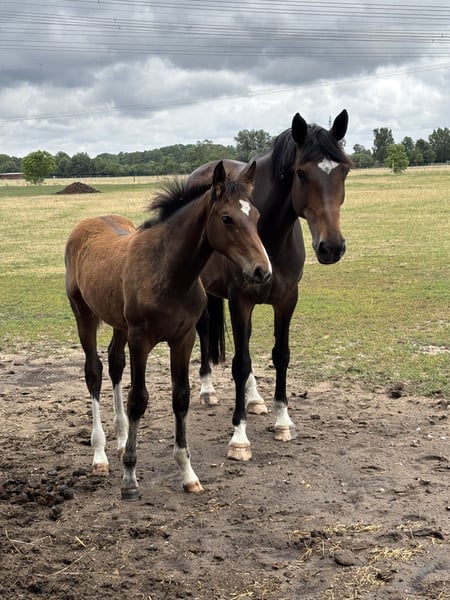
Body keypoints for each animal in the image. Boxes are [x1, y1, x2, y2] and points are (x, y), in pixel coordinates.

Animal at [65, 161, 272, 500]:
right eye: (227, 218)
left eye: (255, 215)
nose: (262, 271)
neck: (168, 272)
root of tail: (87, 224)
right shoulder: (140, 340)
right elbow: (139, 399)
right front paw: (130, 479)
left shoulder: (183, 338)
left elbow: (181, 397)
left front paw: (188, 473)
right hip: (84, 314)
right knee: (94, 371)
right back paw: (101, 455)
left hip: (118, 323)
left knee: (115, 364)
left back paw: (120, 441)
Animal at [187, 110, 353, 461]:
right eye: (301, 173)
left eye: (344, 170)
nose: (331, 247)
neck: (269, 236)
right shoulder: (239, 300)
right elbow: (239, 363)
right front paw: (239, 437)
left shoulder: (287, 300)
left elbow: (280, 355)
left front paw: (282, 421)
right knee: (206, 331)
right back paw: (208, 390)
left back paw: (254, 399)